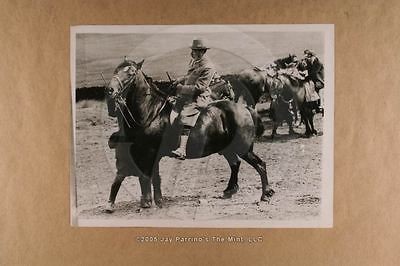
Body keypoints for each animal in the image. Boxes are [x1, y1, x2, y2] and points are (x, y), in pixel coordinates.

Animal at [104, 59, 276, 212]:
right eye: (115, 70)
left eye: (131, 73)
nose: (110, 91)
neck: (151, 112)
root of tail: (245, 108)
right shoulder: (153, 155)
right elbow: (155, 178)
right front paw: (158, 201)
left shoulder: (149, 153)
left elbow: (147, 176)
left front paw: (147, 203)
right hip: (226, 148)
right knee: (235, 163)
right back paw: (230, 190)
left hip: (243, 148)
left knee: (260, 165)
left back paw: (265, 194)